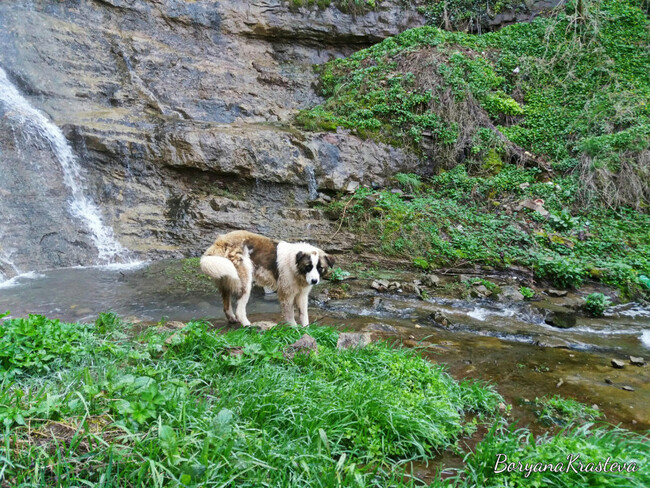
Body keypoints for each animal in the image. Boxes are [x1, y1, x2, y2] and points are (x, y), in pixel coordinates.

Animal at [200, 230, 334, 328]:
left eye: (320, 268)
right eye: (308, 267)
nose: (314, 281)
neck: (294, 264)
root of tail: (221, 240)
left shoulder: (302, 295)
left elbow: (304, 314)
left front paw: (306, 329)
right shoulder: (286, 294)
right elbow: (290, 314)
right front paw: (294, 328)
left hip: (226, 280)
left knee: (226, 306)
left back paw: (232, 319)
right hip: (245, 282)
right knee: (240, 310)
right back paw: (248, 325)